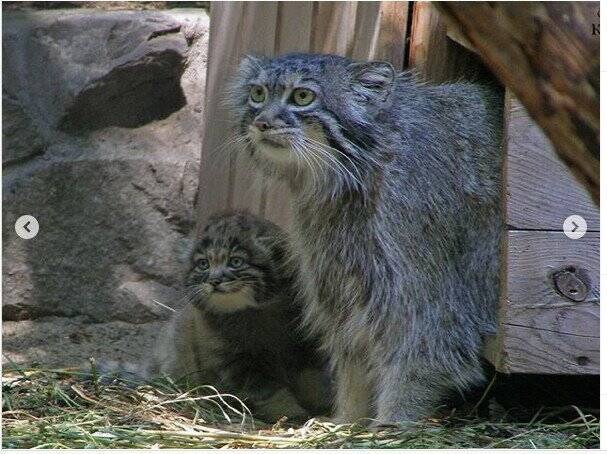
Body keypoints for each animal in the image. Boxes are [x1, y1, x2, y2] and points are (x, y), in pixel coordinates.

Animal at [148, 213, 330, 422]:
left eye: (235, 262)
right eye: (203, 264)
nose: (214, 281)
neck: (255, 312)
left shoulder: (305, 347)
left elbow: (312, 379)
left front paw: (323, 406)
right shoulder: (236, 362)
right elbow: (268, 392)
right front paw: (289, 413)